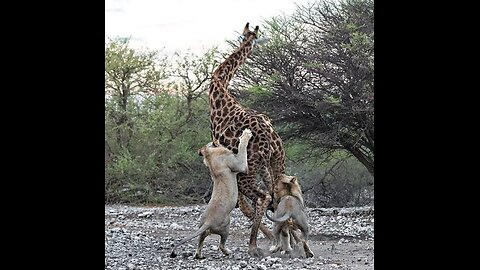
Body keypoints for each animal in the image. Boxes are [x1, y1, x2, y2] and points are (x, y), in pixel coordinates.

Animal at [170, 129, 253, 260]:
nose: (218, 136)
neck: (209, 155)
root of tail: (207, 222)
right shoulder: (240, 165)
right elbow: (242, 147)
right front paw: (246, 134)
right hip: (226, 226)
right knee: (221, 245)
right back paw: (228, 252)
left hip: (202, 231)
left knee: (200, 243)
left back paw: (199, 255)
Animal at [209, 22, 284, 256]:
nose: (245, 40)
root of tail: (269, 139)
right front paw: (275, 239)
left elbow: (242, 205)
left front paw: (270, 239)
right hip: (276, 160)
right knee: (280, 193)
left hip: (248, 169)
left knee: (262, 197)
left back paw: (253, 245)